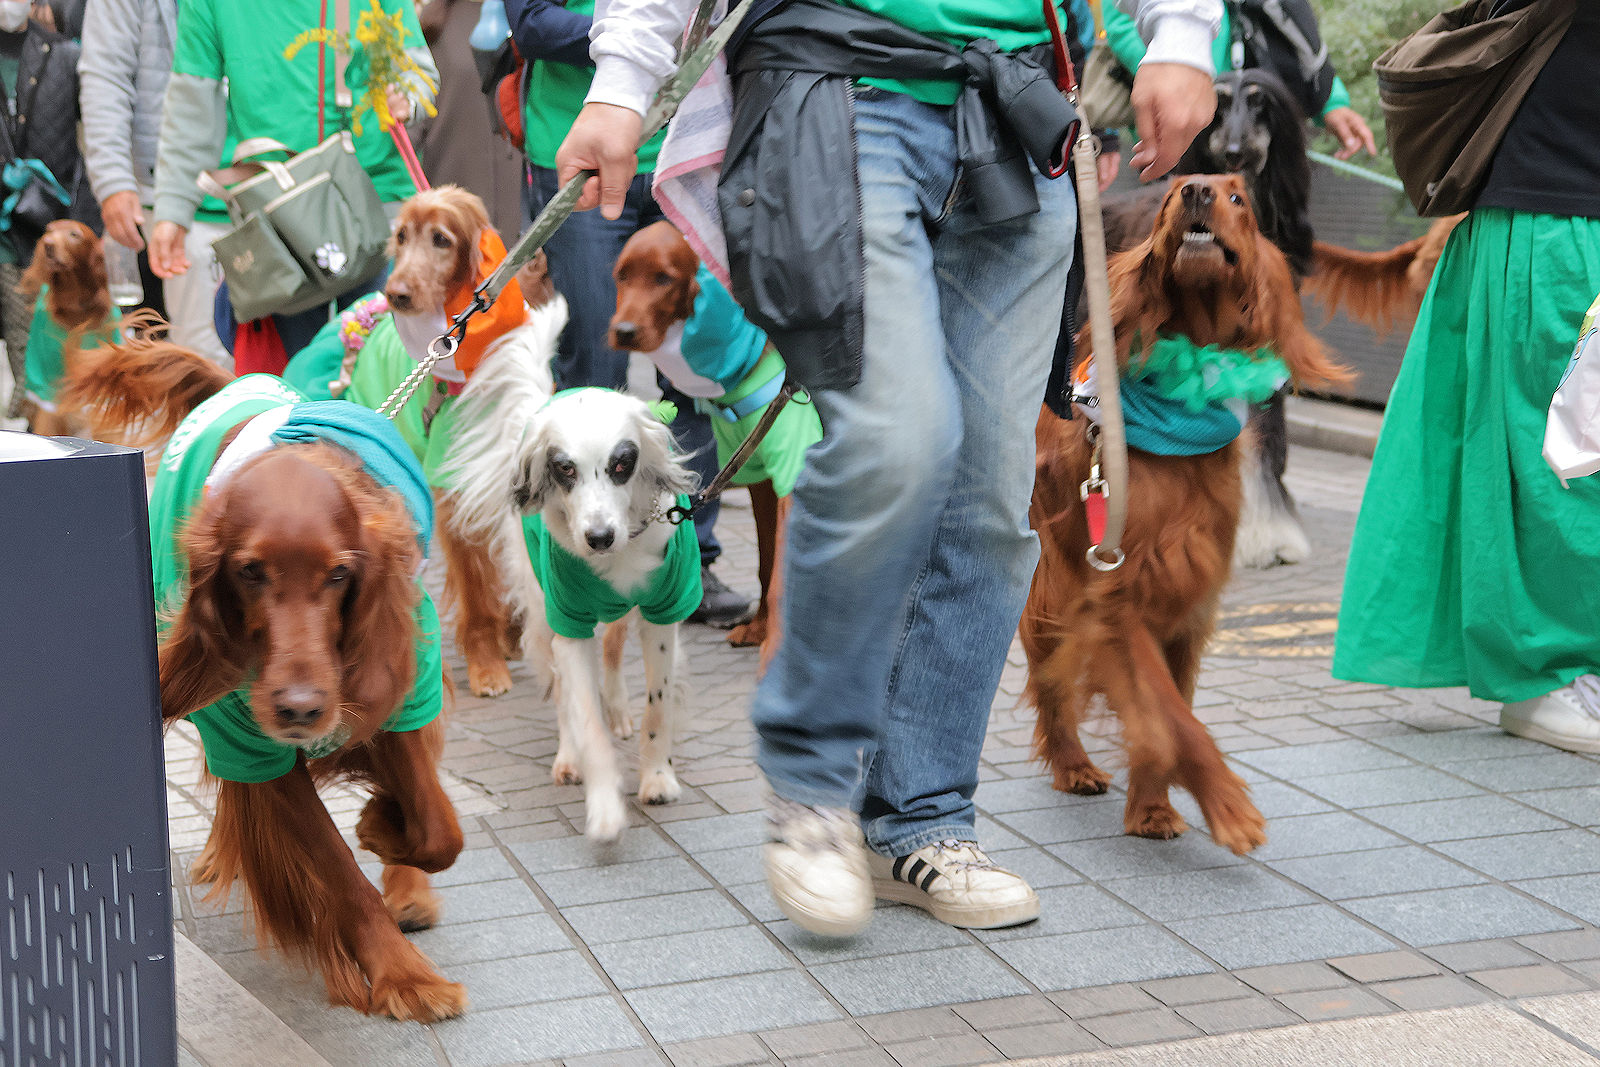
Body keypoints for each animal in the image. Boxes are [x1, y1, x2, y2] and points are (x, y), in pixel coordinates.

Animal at [60, 319, 467, 1022]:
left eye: (340, 574)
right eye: (249, 571)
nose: (300, 708)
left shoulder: (400, 691)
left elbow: (439, 827)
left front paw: (383, 825)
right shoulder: (252, 746)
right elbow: (337, 868)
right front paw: (405, 976)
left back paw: (408, 887)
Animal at [443, 350, 700, 841]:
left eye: (623, 463)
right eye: (565, 468)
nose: (599, 538)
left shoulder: (664, 613)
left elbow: (658, 707)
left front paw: (658, 778)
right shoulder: (568, 623)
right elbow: (583, 715)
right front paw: (604, 807)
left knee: (614, 648)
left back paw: (618, 710)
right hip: (543, 613)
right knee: (563, 690)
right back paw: (568, 757)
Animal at [608, 221, 822, 661]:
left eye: (664, 278)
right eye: (622, 275)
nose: (624, 331)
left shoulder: (793, 471)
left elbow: (782, 573)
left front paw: (773, 650)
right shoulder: (758, 476)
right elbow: (767, 558)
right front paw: (759, 629)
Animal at [1022, 175, 1349, 854]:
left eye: (1239, 199)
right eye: (1173, 194)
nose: (1197, 190)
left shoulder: (1188, 602)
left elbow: (1169, 708)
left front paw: (1150, 808)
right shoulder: (1118, 593)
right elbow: (1173, 720)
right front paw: (1227, 806)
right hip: (1051, 585)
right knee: (1048, 678)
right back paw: (1073, 765)